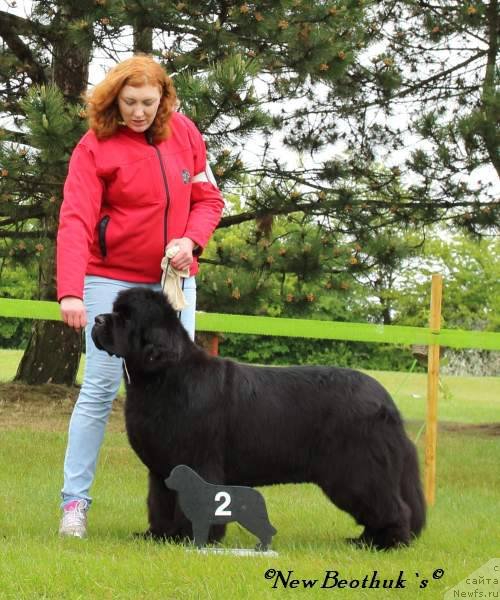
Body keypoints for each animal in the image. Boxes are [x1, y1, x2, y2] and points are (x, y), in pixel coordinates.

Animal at [92, 288, 424, 552]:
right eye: (115, 311)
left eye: (126, 318)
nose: (97, 320)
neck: (164, 377)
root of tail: (386, 401)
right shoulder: (162, 469)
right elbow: (160, 502)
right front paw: (160, 536)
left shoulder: (198, 459)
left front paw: (192, 538)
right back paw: (365, 541)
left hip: (358, 469)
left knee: (391, 506)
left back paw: (386, 543)